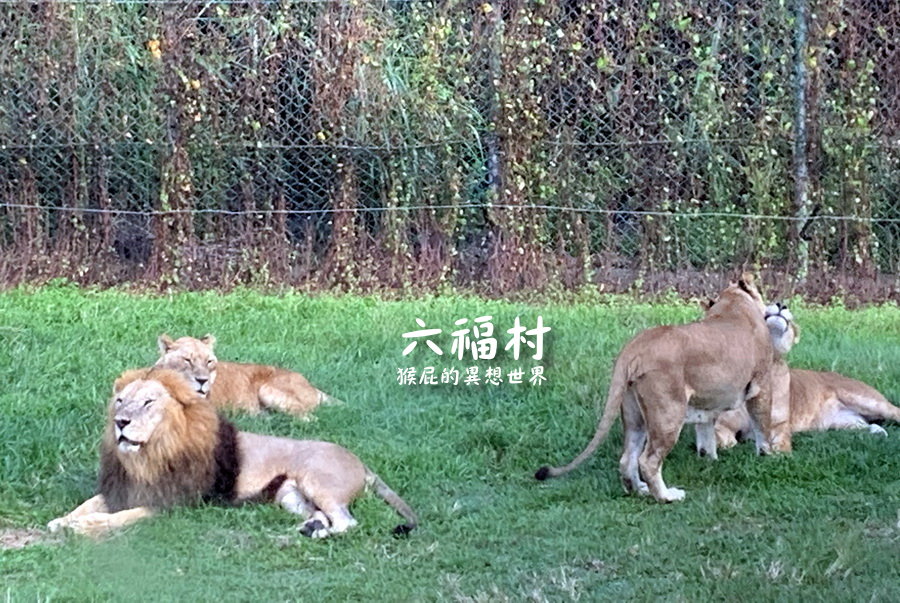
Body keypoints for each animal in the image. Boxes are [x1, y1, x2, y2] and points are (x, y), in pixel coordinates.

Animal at [47, 368, 416, 536]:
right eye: (121, 401)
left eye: (148, 402)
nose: (120, 422)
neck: (146, 457)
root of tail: (360, 461)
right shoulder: (121, 490)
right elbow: (89, 504)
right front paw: (61, 520)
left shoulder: (171, 503)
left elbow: (118, 518)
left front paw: (82, 527)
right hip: (289, 495)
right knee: (322, 515)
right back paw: (308, 527)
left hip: (318, 482)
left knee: (346, 522)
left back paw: (313, 533)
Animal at [536, 276, 772, 502]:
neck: (733, 304)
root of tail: (634, 347)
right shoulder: (761, 386)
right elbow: (762, 424)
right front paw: (768, 455)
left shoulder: (708, 402)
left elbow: (706, 433)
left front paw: (710, 460)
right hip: (669, 412)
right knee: (648, 460)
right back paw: (667, 496)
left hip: (634, 413)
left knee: (627, 458)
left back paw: (639, 490)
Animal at [712, 302, 896, 448]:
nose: (781, 304)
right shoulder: (725, 425)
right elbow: (724, 439)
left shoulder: (777, 427)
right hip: (843, 423)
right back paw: (878, 431)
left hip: (868, 401)